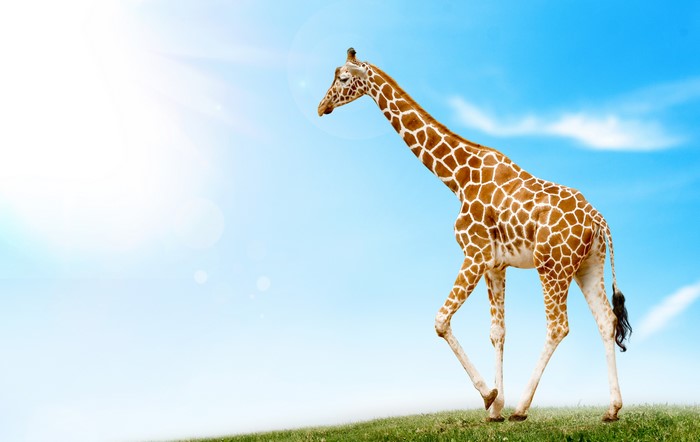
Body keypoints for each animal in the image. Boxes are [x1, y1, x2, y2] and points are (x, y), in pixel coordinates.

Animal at [317, 48, 631, 422]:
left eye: (343, 78)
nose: (321, 106)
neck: (456, 177)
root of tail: (599, 220)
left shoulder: (475, 253)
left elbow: (440, 320)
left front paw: (489, 396)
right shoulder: (495, 265)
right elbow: (497, 332)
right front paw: (495, 408)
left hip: (552, 266)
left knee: (558, 326)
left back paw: (522, 408)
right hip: (588, 265)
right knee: (606, 320)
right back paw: (612, 408)